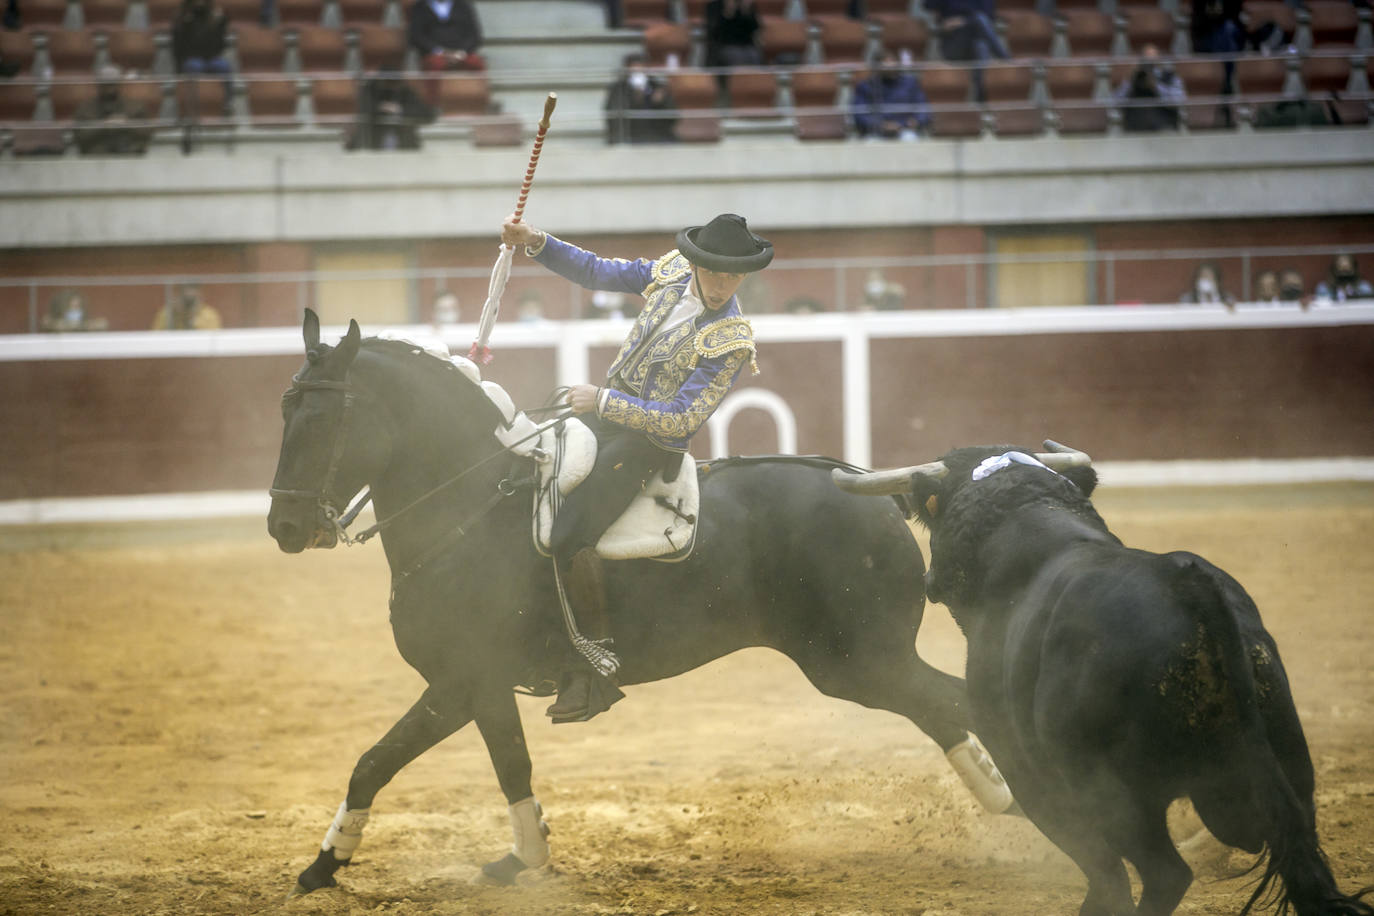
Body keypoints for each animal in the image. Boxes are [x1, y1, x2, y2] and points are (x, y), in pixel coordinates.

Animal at [270, 311, 1011, 900]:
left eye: (327, 419)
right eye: (283, 412)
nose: (284, 527)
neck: (471, 507)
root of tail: (873, 491)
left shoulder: (460, 681)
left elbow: (376, 760)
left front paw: (321, 866)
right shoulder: (482, 687)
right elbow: (510, 765)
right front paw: (524, 857)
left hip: (860, 661)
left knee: (959, 704)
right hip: (862, 665)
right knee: (945, 711)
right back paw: (1006, 801)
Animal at [835, 447, 1374, 916]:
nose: (928, 580)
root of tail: (1190, 591)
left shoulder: (1027, 767)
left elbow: (1100, 867)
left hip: (1115, 795)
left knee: (1165, 873)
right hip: (1291, 769)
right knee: (1302, 856)